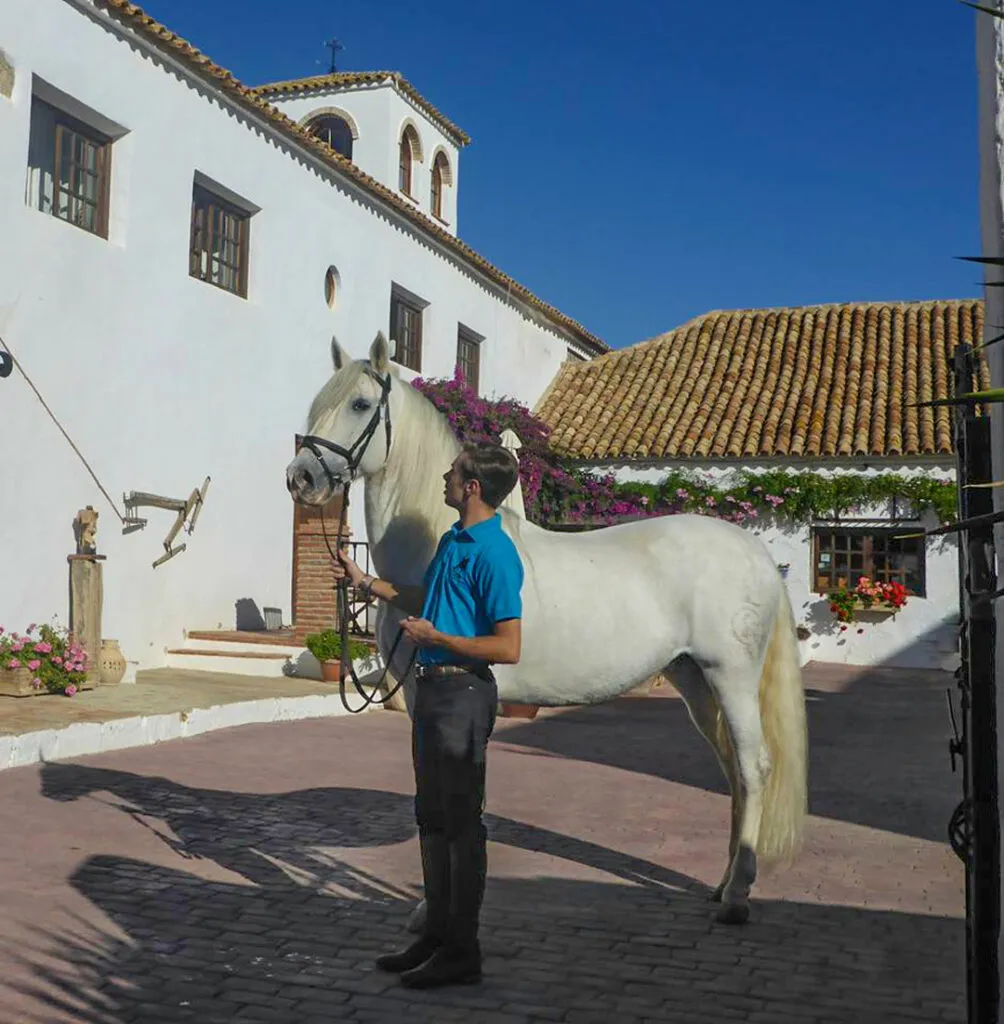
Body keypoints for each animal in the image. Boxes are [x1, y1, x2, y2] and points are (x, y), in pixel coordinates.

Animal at [285, 331, 808, 926]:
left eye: (359, 404)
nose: (300, 478)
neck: (437, 551)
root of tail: (754, 550)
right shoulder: (420, 701)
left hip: (732, 676)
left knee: (754, 766)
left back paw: (738, 897)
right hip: (694, 679)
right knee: (733, 771)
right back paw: (722, 886)